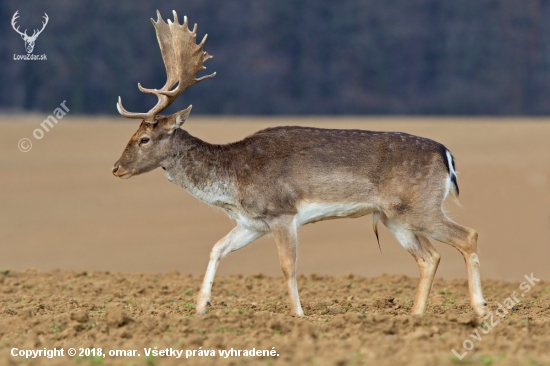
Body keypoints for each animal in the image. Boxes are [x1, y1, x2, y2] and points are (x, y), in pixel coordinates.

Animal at [111, 10, 488, 316]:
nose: (116, 168)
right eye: (132, 134)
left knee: (468, 235)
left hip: (418, 207)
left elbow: (287, 265)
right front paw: (201, 307)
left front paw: (298, 315)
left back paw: (480, 309)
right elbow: (217, 248)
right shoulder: (252, 222)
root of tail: (446, 154)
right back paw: (415, 315)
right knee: (430, 257)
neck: (232, 181)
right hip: (393, 217)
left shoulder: (282, 212)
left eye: (144, 139)